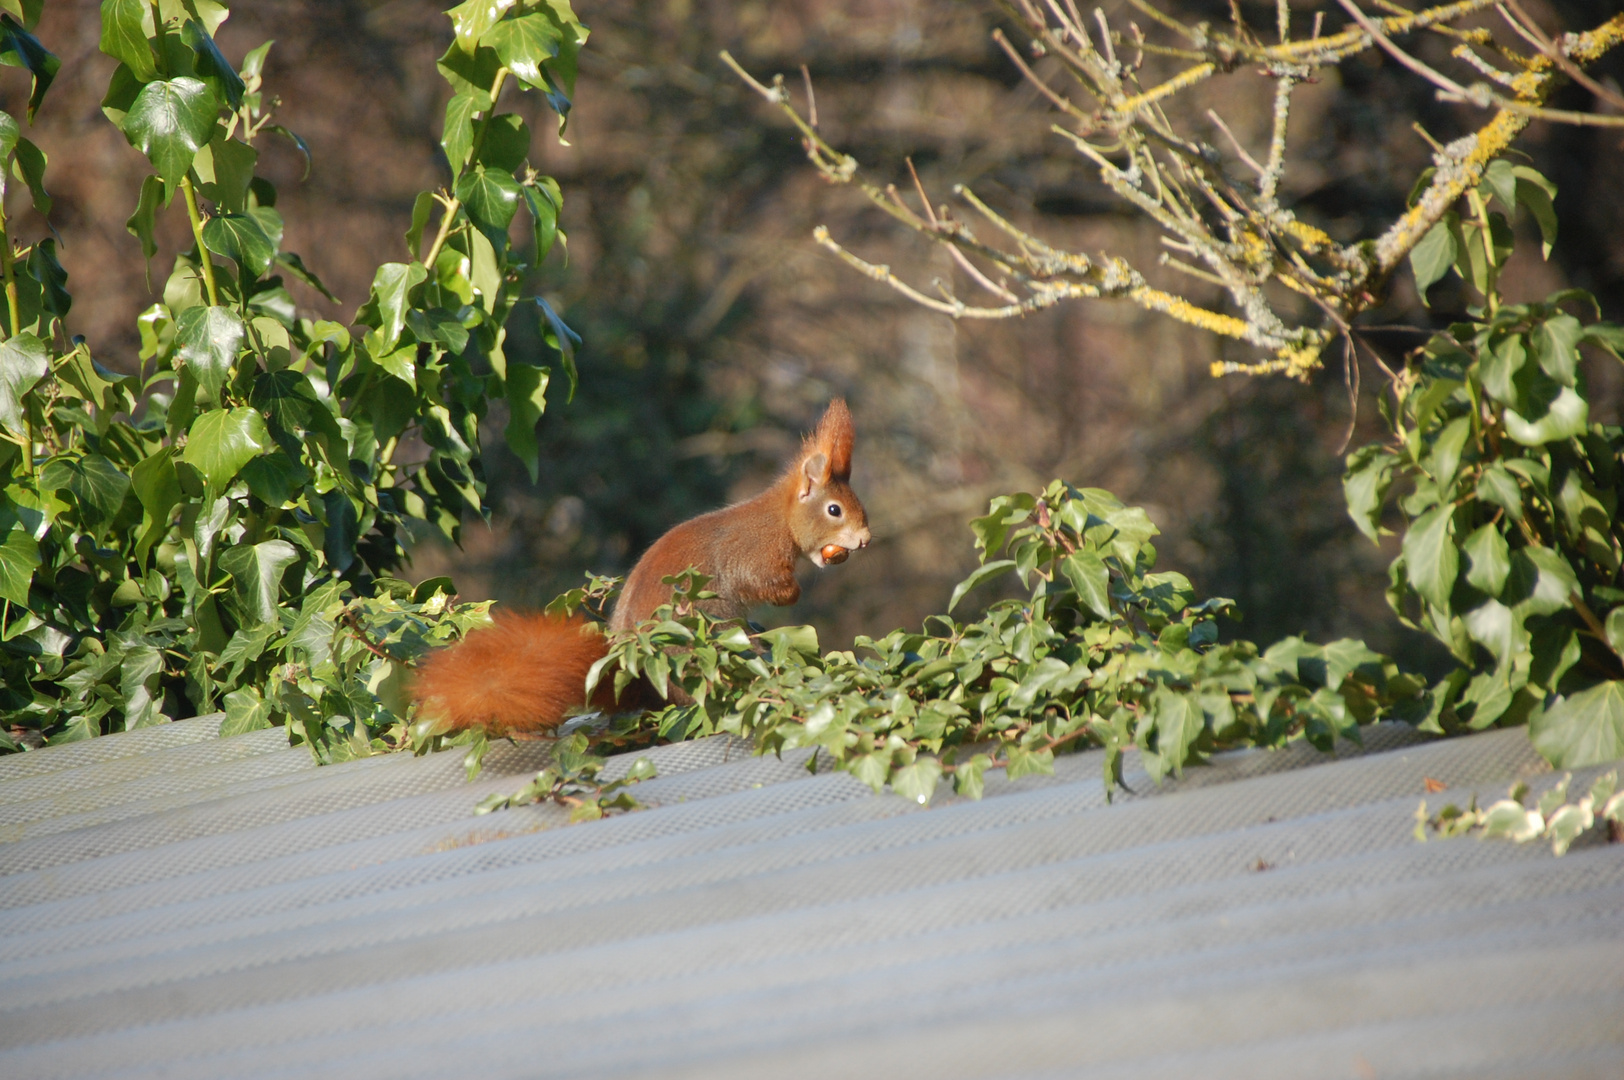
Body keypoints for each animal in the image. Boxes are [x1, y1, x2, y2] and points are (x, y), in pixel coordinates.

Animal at [412, 399, 870, 737]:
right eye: (834, 510)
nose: (865, 539)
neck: (780, 520)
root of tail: (636, 678)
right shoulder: (753, 554)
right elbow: (766, 584)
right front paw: (794, 593)